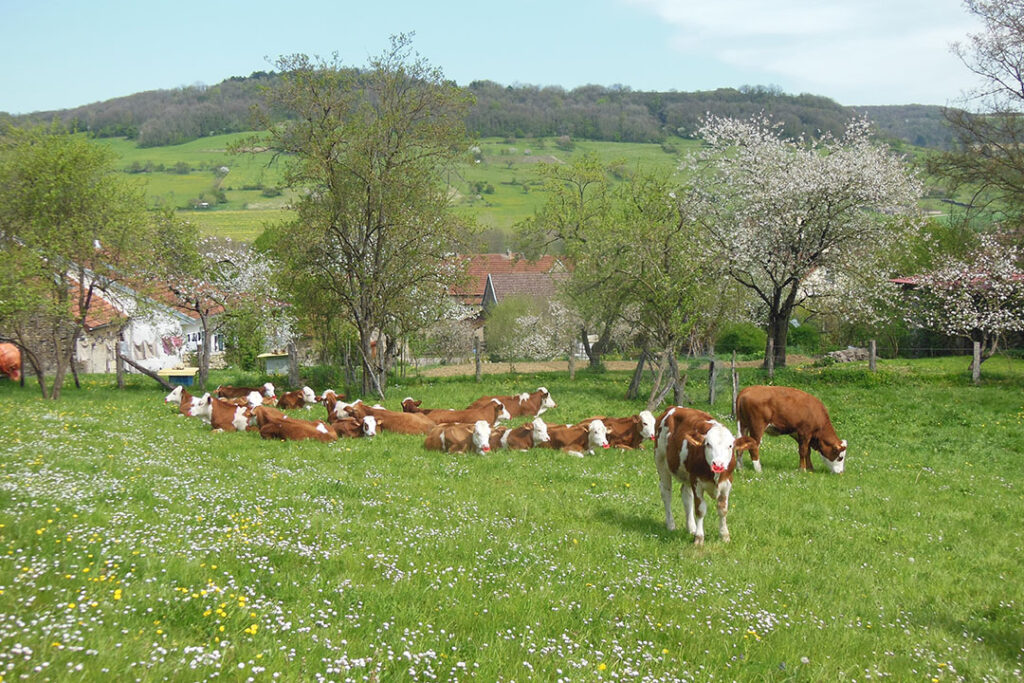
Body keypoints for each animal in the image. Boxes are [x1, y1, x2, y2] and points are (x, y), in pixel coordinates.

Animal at [651, 405, 757, 544]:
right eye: (708, 444)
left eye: (730, 446)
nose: (718, 464)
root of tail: (673, 407)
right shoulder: (697, 482)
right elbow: (700, 510)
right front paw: (699, 538)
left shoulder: (727, 483)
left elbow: (723, 509)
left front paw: (724, 536)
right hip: (661, 461)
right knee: (666, 493)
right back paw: (671, 524)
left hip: (687, 475)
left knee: (686, 496)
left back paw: (691, 527)